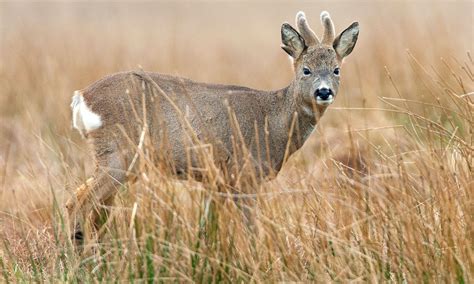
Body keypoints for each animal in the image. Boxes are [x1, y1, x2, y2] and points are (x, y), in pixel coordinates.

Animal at [66, 11, 360, 244]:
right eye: (306, 70)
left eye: (336, 69)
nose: (324, 92)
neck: (273, 121)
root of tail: (81, 97)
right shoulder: (244, 174)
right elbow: (251, 230)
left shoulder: (217, 180)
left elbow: (207, 228)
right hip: (119, 153)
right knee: (79, 202)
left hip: (122, 161)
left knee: (88, 205)